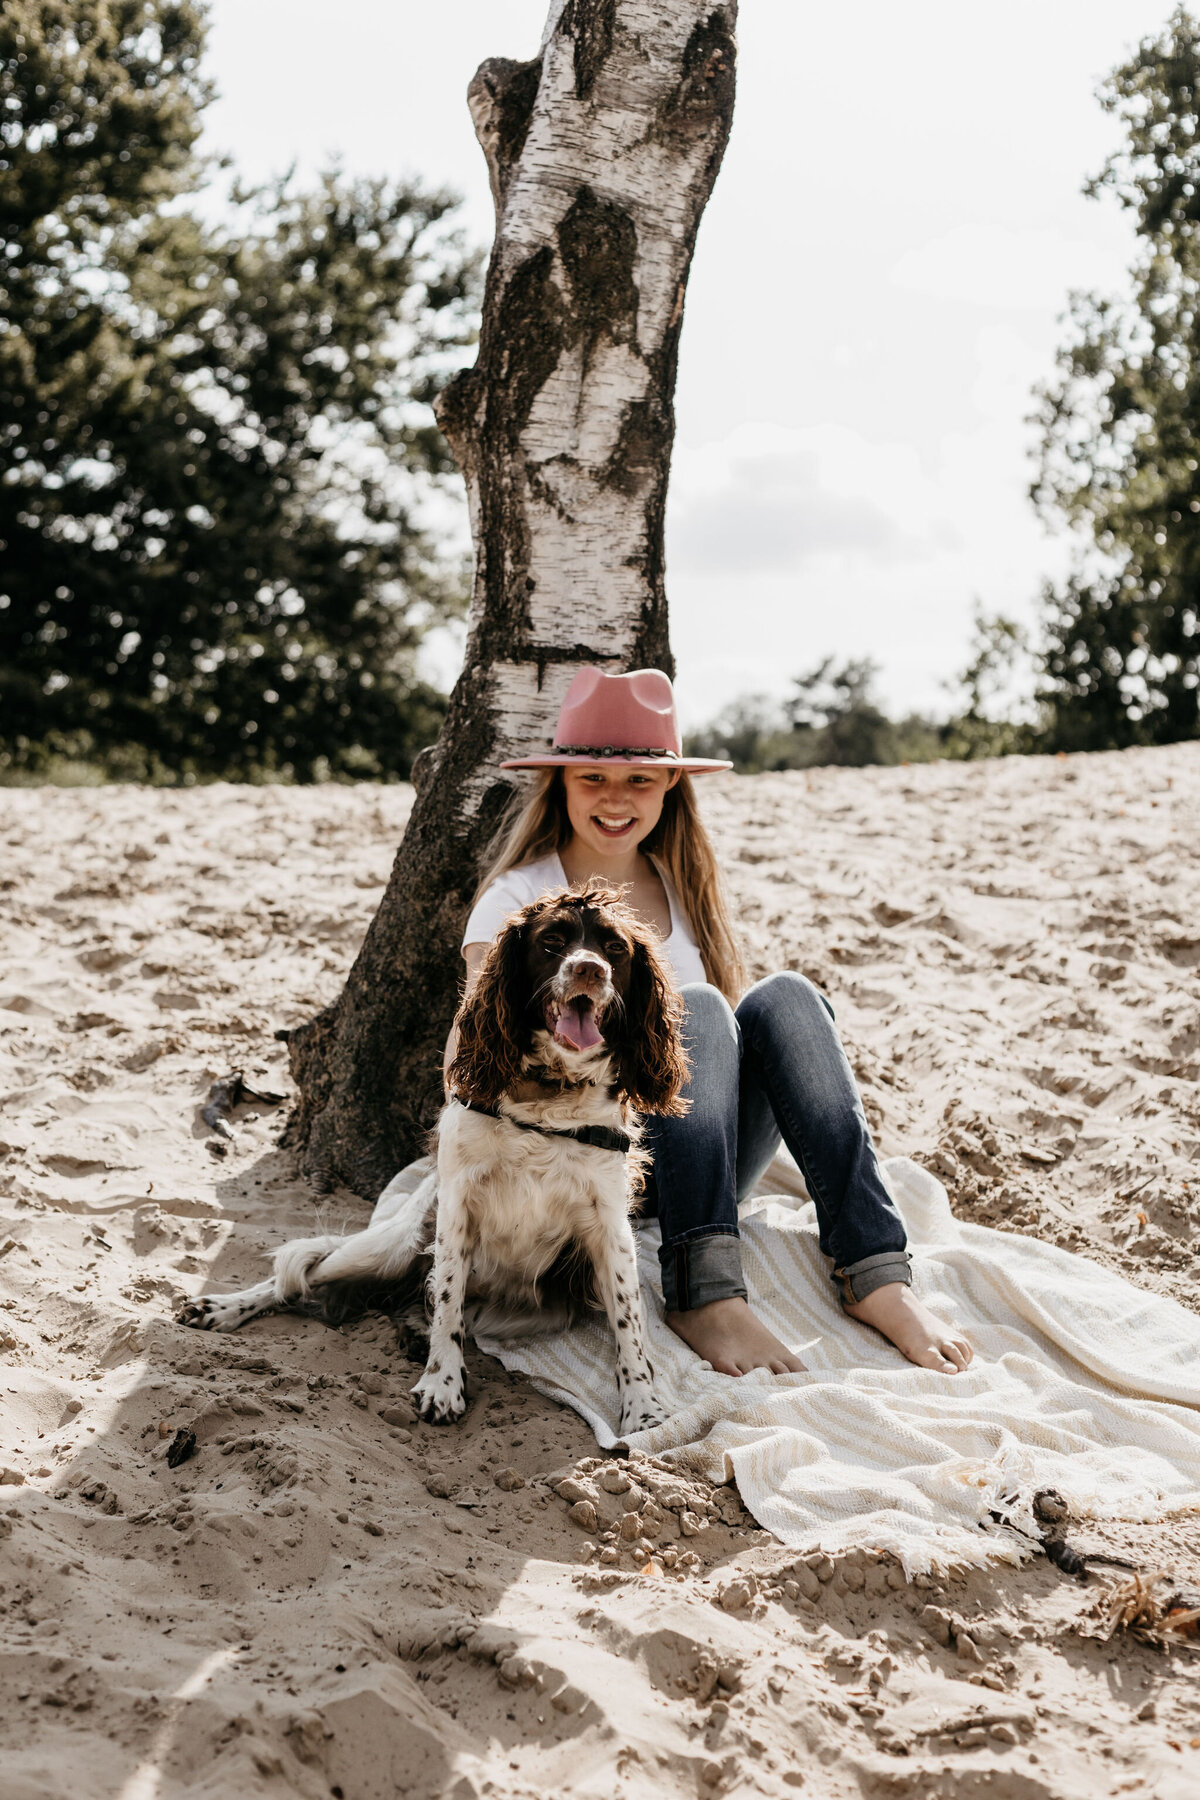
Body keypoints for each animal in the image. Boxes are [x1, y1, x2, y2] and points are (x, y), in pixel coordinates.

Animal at [177, 878, 683, 1440]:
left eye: (615, 948)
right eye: (552, 940)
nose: (590, 969)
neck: (550, 1094)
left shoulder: (609, 1225)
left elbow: (628, 1321)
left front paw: (643, 1406)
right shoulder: (457, 1204)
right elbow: (446, 1299)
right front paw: (442, 1383)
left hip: (535, 1309)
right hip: (392, 1245)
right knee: (300, 1276)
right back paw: (221, 1308)